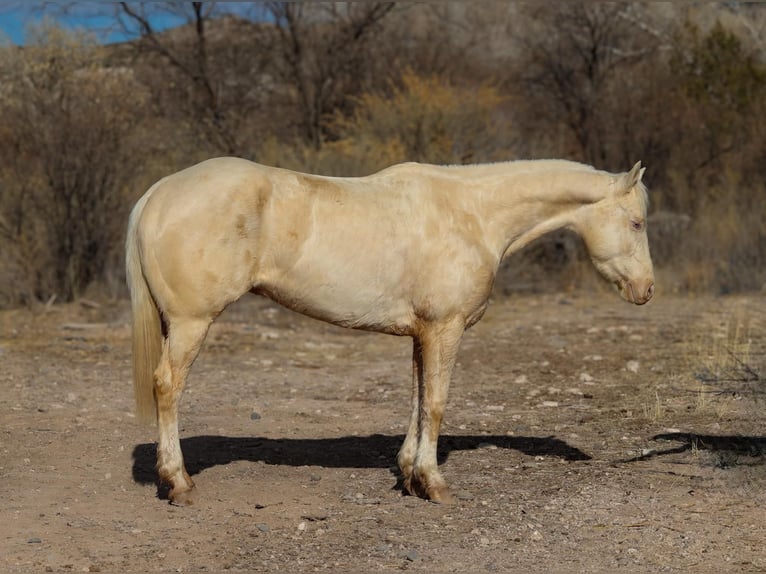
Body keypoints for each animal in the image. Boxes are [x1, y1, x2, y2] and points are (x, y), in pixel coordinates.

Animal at [124, 156, 656, 504]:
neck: (472, 213)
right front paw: (434, 485)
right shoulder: (446, 329)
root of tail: (157, 193)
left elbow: (418, 400)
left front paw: (409, 475)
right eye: (636, 222)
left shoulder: (423, 333)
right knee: (167, 387)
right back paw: (177, 483)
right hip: (191, 323)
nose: (646, 289)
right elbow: (436, 403)